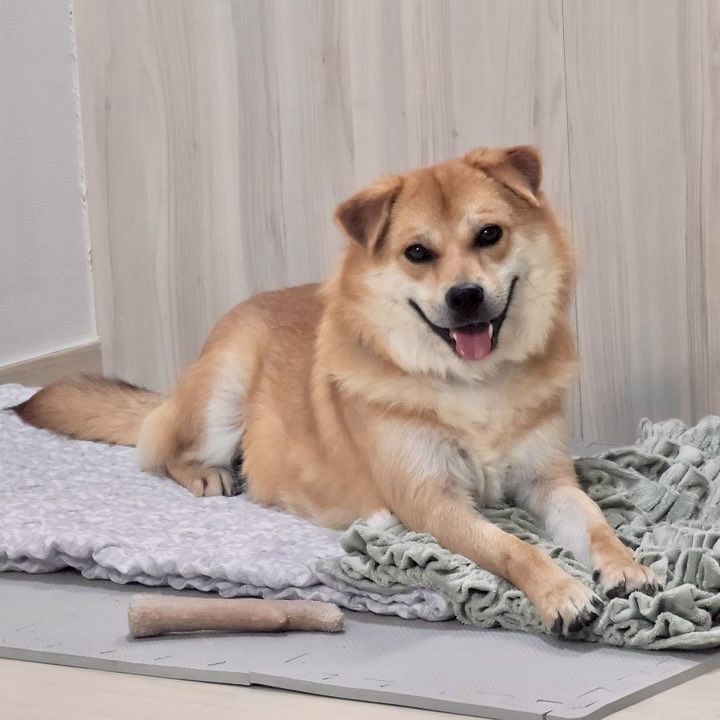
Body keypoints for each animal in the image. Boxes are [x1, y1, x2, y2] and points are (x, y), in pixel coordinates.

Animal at [13, 145, 659, 634]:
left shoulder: (548, 480)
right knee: (162, 446)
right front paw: (561, 592)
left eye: (490, 234)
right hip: (222, 391)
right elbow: (511, 548)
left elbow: (596, 525)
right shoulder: (431, 501)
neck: (470, 382)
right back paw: (206, 472)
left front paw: (625, 566)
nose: (466, 296)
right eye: (417, 252)